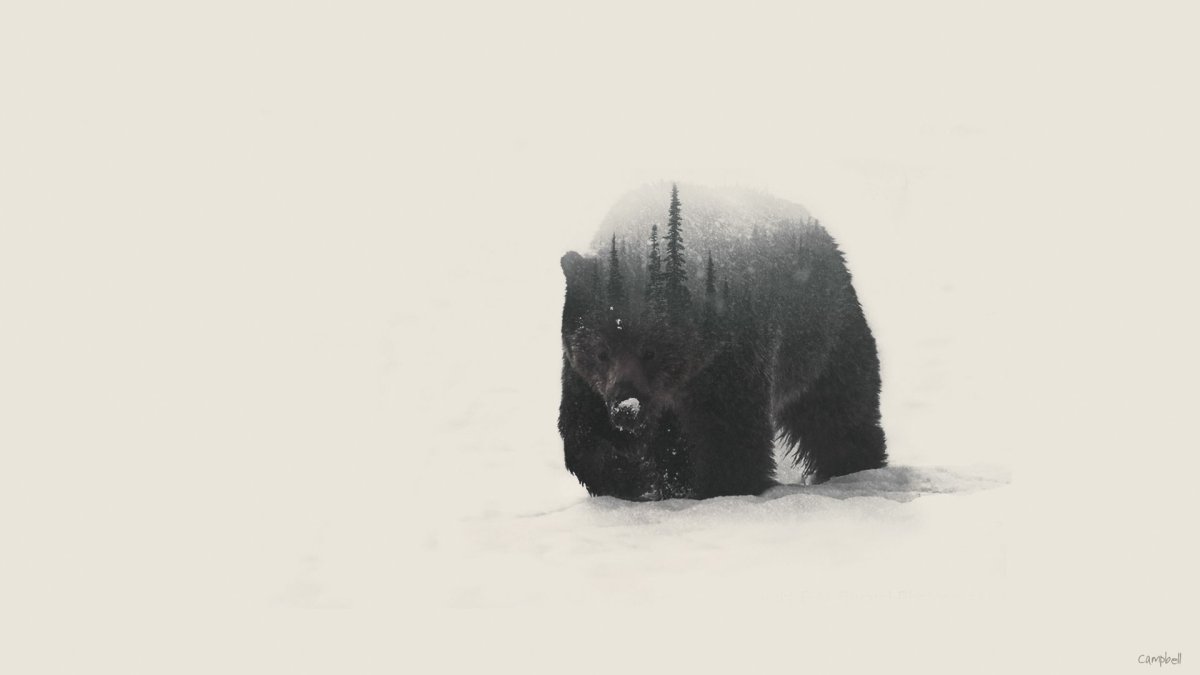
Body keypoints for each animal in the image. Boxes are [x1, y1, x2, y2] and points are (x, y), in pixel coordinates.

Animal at [558, 183, 886, 500]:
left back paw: (856, 466)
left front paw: (724, 486)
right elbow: (584, 429)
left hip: (822, 336)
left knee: (838, 410)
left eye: (650, 351)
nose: (626, 407)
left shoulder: (730, 355)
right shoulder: (584, 376)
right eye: (601, 352)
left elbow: (729, 431)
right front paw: (633, 479)